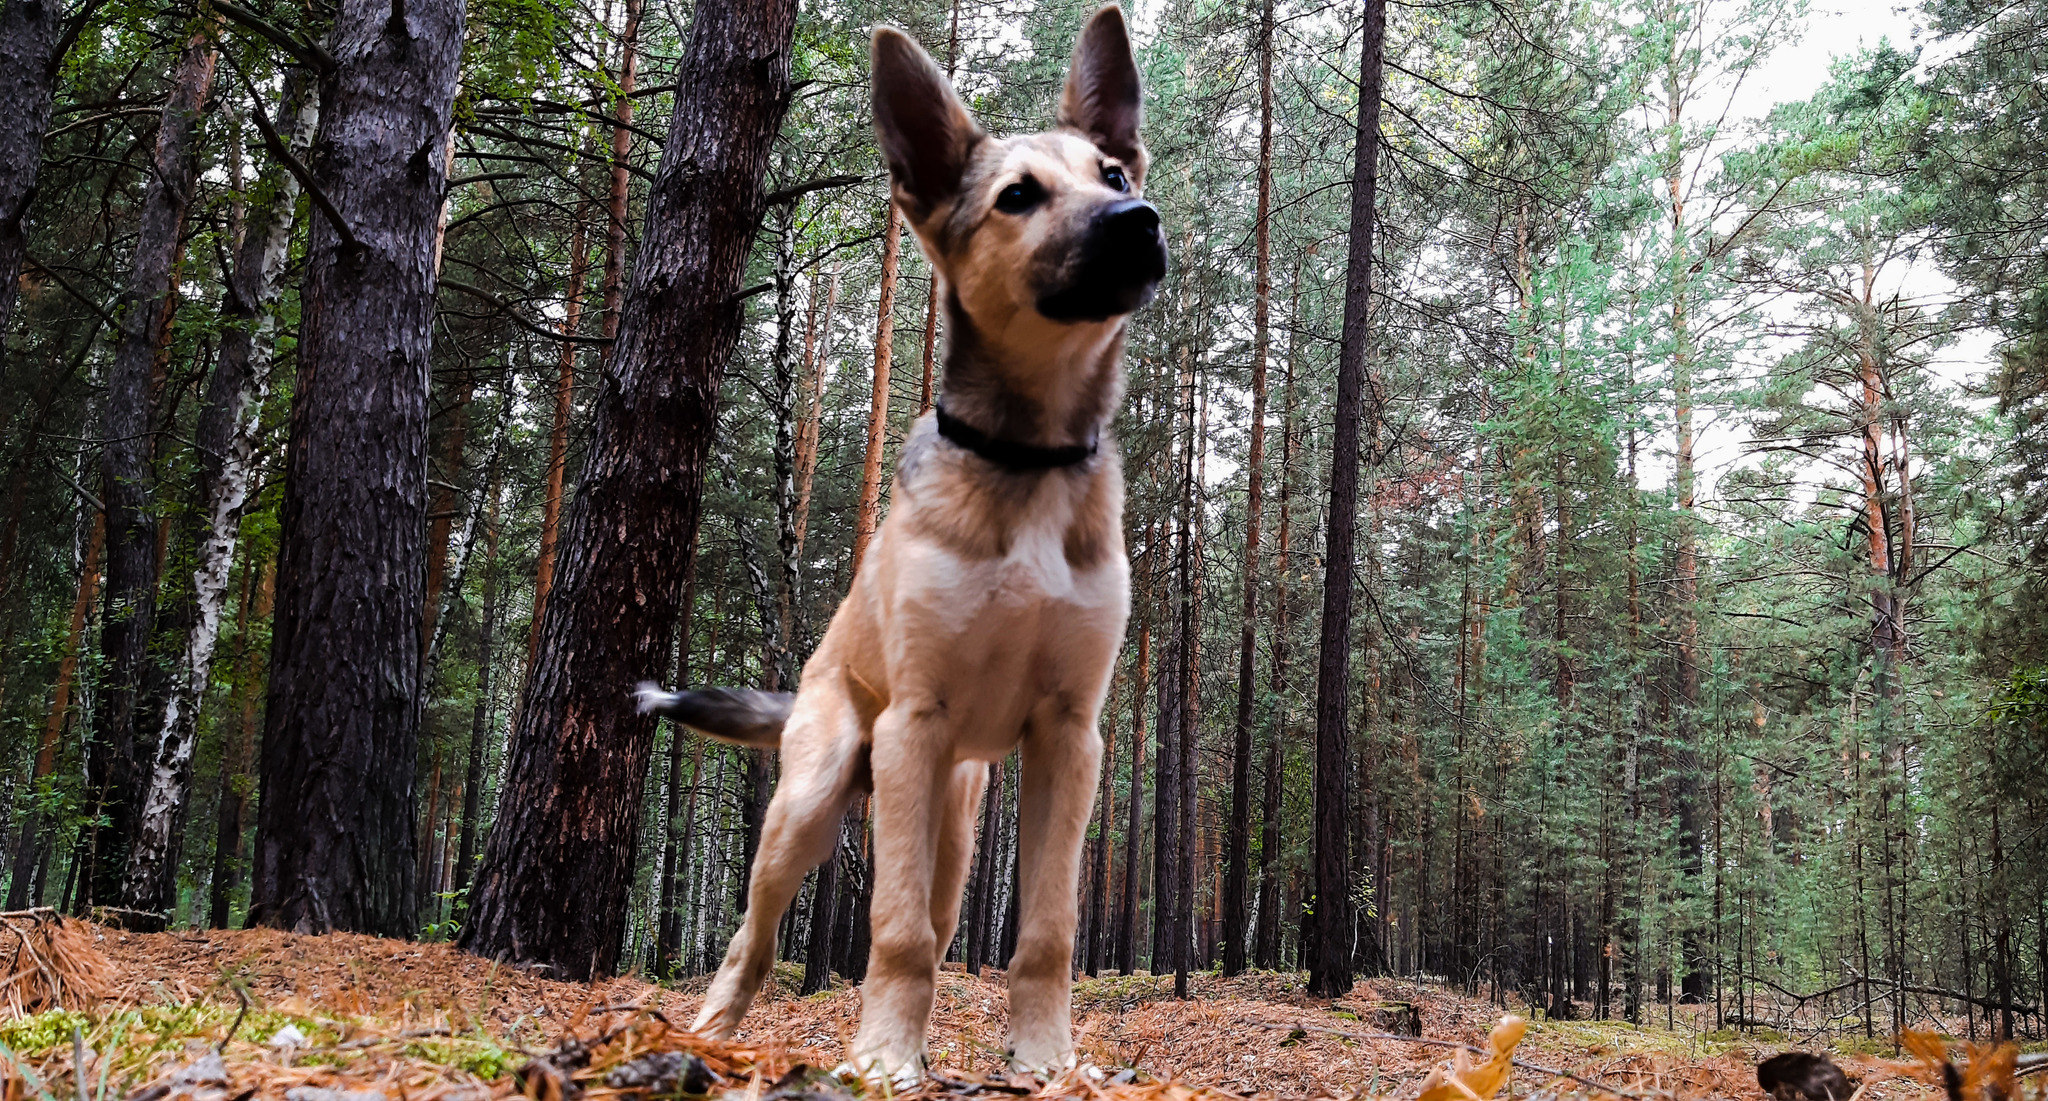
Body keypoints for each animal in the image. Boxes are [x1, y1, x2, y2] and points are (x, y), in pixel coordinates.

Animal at [630, 2, 1163, 1080]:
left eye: (1114, 173)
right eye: (1016, 196)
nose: (1141, 222)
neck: (1025, 459)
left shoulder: (1069, 735)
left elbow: (1045, 930)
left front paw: (1044, 1063)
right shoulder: (916, 718)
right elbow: (895, 933)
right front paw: (882, 1062)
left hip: (955, 824)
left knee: (942, 910)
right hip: (812, 799)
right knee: (755, 938)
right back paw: (709, 1035)